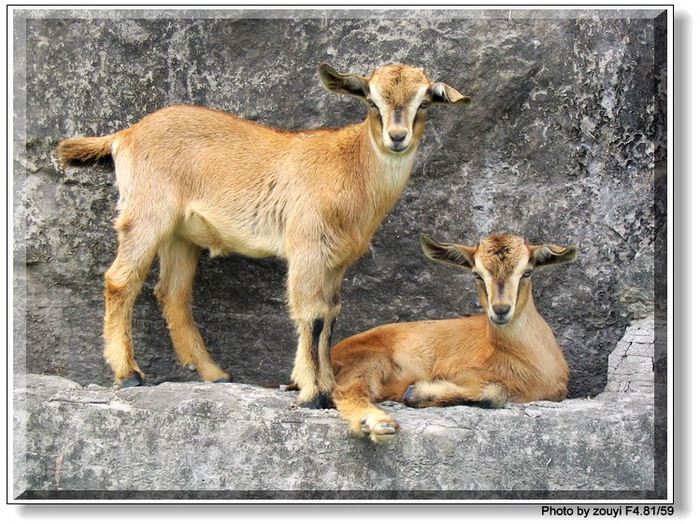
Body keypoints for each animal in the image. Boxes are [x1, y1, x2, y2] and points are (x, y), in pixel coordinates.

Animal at [54, 63, 470, 410]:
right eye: (371, 100)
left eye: (425, 103)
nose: (397, 137)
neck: (350, 167)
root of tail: (125, 135)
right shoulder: (306, 249)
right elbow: (311, 315)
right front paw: (312, 393)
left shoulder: (336, 262)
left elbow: (330, 317)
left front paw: (329, 386)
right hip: (147, 213)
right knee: (121, 280)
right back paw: (129, 375)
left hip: (179, 235)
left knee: (171, 292)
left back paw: (214, 373)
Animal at [330, 233, 576, 442]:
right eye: (477, 274)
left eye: (527, 271)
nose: (501, 310)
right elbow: (494, 392)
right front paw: (417, 393)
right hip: (370, 358)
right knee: (346, 390)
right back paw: (379, 424)